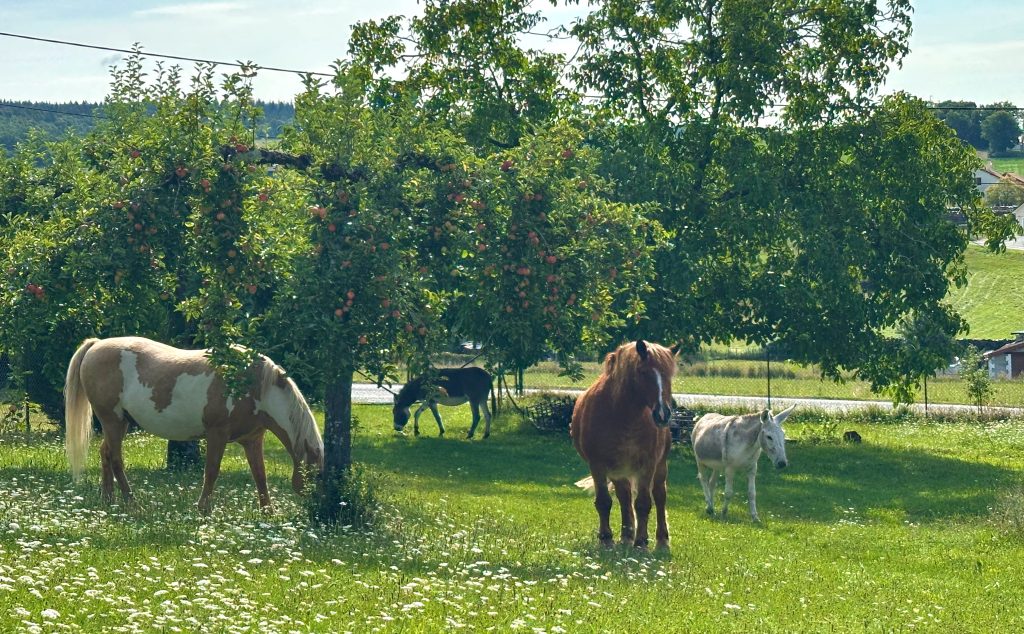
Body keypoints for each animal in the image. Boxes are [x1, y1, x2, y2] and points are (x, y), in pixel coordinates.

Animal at [64, 336, 323, 513]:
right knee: (116, 459)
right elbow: (212, 471)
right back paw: (132, 503)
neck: (254, 386)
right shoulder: (217, 435)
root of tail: (96, 345)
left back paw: (108, 500)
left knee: (105, 453)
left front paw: (268, 512)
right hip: (113, 420)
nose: (315, 503)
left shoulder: (252, 439)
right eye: (316, 474)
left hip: (119, 424)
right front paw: (203, 509)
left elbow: (260, 474)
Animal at [570, 340, 679, 549]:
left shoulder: (648, 464)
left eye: (670, 373)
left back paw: (661, 539)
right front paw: (606, 539)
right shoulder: (599, 465)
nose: (663, 414)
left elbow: (644, 503)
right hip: (618, 471)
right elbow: (604, 502)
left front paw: (641, 542)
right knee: (624, 497)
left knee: (659, 496)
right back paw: (626, 535)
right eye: (643, 372)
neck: (622, 415)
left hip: (660, 466)